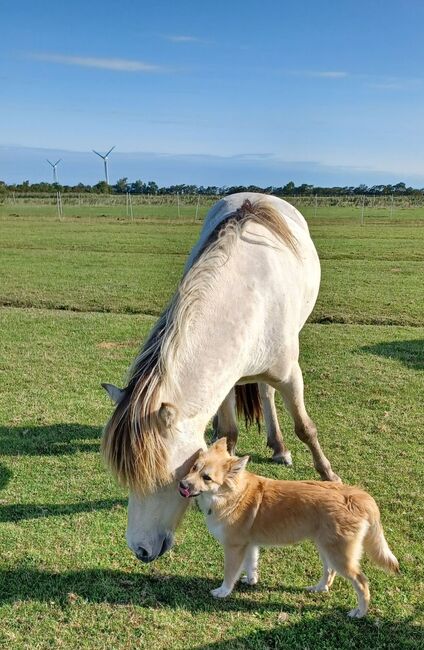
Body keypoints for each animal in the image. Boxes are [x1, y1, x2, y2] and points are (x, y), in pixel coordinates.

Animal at [101, 192, 340, 560]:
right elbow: (228, 433)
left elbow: (305, 427)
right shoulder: (224, 380)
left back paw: (279, 447)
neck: (247, 299)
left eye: (163, 480)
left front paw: (328, 475)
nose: (140, 550)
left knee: (268, 394)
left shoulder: (290, 375)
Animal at [178, 438, 398, 616]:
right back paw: (319, 588)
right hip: (327, 547)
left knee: (362, 582)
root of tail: (356, 495)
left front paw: (223, 591)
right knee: (329, 572)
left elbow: (230, 573)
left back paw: (360, 612)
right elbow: (251, 564)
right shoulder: (250, 545)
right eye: (194, 467)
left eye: (207, 477)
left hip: (340, 555)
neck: (231, 494)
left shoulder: (234, 547)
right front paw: (251, 581)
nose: (182, 484)